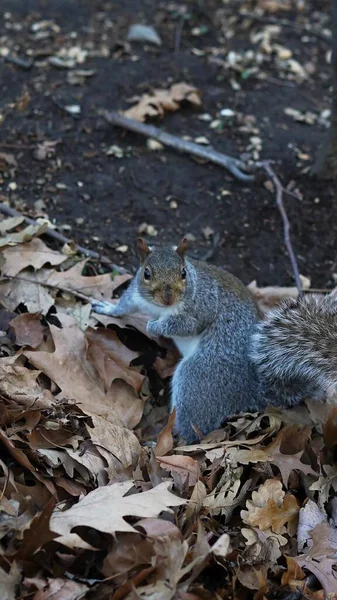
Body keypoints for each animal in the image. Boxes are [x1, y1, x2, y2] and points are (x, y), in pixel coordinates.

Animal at [91, 238, 336, 440]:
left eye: (183, 273)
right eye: (147, 273)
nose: (168, 298)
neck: (160, 307)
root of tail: (255, 393)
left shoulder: (202, 306)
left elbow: (185, 325)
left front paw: (154, 326)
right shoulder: (136, 295)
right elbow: (124, 305)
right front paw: (107, 308)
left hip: (200, 377)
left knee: (194, 428)